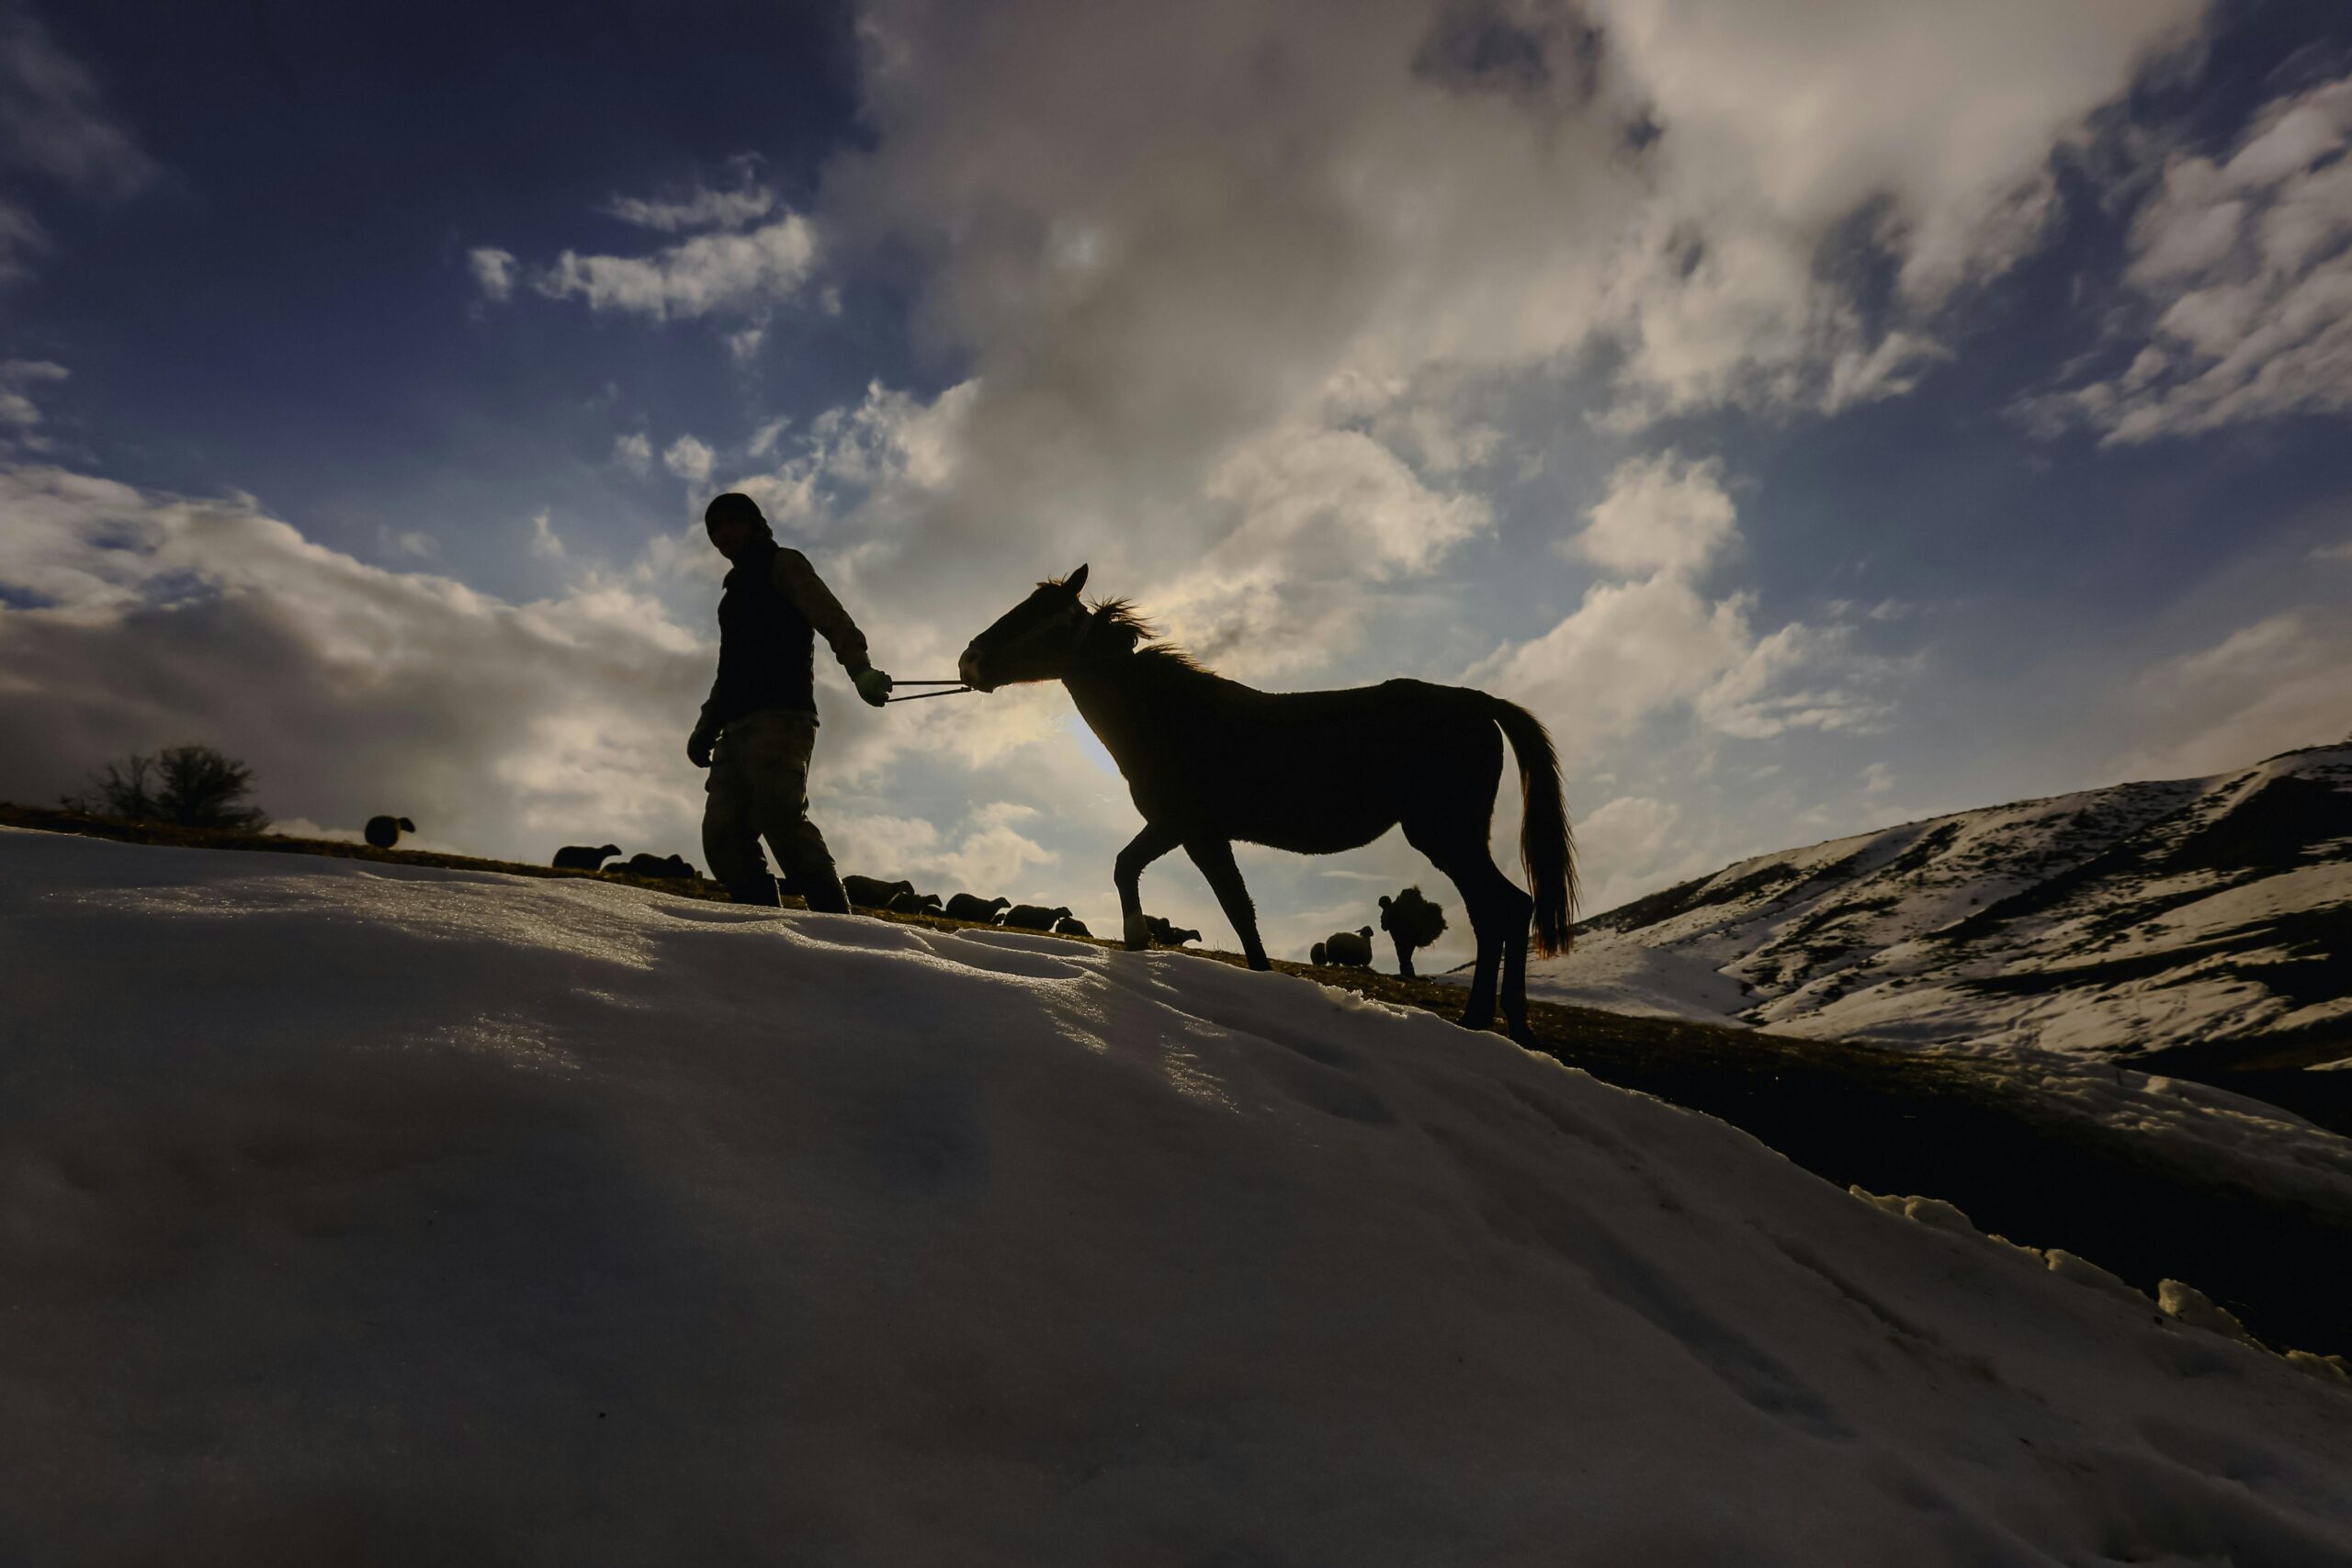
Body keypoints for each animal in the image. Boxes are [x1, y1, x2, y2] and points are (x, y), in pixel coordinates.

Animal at [955, 566, 1580, 1043]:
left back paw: (1486, 1022)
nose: (970, 660)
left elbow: (1233, 910)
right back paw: (1500, 1024)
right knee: (1503, 910)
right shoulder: (1183, 831)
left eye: (1052, 618)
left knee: (1503, 909)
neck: (1170, 718)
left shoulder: (1190, 829)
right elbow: (1172, 885)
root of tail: (1478, 702)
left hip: (1446, 834)